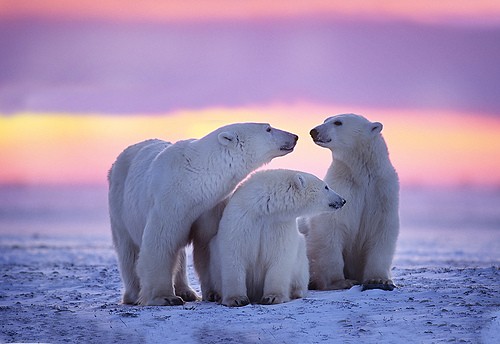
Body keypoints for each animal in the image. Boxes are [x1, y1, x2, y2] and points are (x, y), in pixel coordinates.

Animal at [108, 122, 296, 306]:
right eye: (268, 128)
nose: (295, 136)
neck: (194, 180)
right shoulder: (169, 201)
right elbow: (160, 242)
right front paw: (165, 297)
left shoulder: (210, 207)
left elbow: (207, 244)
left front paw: (214, 293)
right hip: (120, 206)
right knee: (128, 250)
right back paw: (134, 295)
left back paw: (187, 291)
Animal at [209, 169, 346, 306]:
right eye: (326, 187)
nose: (343, 200)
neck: (263, 209)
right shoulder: (241, 219)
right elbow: (234, 254)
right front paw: (236, 299)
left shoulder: (279, 225)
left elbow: (279, 257)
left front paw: (272, 297)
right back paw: (217, 295)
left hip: (301, 259)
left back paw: (297, 292)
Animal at [300, 114, 402, 292]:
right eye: (326, 119)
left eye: (338, 122)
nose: (314, 131)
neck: (361, 175)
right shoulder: (343, 188)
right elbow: (331, 227)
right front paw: (340, 281)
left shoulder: (382, 192)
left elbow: (382, 229)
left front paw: (379, 280)